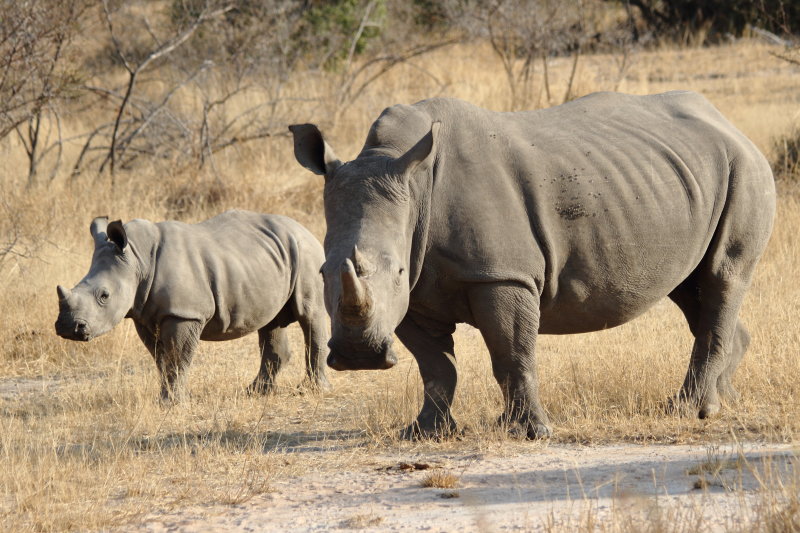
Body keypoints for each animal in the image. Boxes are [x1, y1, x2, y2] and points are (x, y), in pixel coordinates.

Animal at [56, 208, 330, 400]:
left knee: (310, 314)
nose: (68, 328)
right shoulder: (144, 314)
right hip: (270, 259)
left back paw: (311, 390)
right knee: (271, 322)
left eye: (104, 296)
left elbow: (176, 358)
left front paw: (172, 402)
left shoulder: (184, 314)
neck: (136, 258)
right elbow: (161, 359)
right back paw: (255, 392)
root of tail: (304, 228)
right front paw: (169, 398)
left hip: (307, 253)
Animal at [292, 91, 776, 438]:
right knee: (692, 288)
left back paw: (693, 411)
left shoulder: (500, 275)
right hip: (681, 180)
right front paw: (424, 434)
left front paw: (530, 432)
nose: (358, 356)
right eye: (322, 272)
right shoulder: (415, 289)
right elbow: (436, 366)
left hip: (746, 169)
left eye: (394, 271)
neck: (409, 179)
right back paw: (723, 398)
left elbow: (511, 352)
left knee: (722, 277)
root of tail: (730, 125)